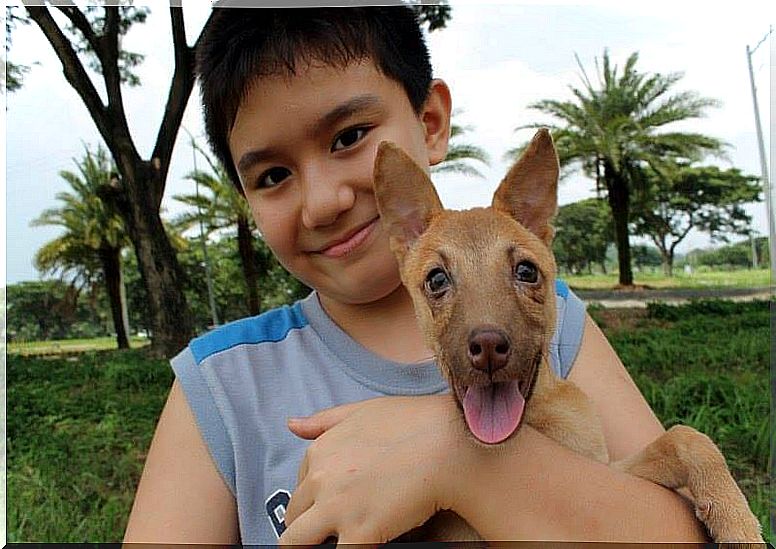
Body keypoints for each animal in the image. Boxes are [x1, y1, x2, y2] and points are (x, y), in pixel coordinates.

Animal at [372, 130, 760, 544]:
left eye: (526, 271)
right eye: (436, 280)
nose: (488, 348)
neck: (534, 423)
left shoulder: (607, 469)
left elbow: (686, 438)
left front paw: (736, 519)